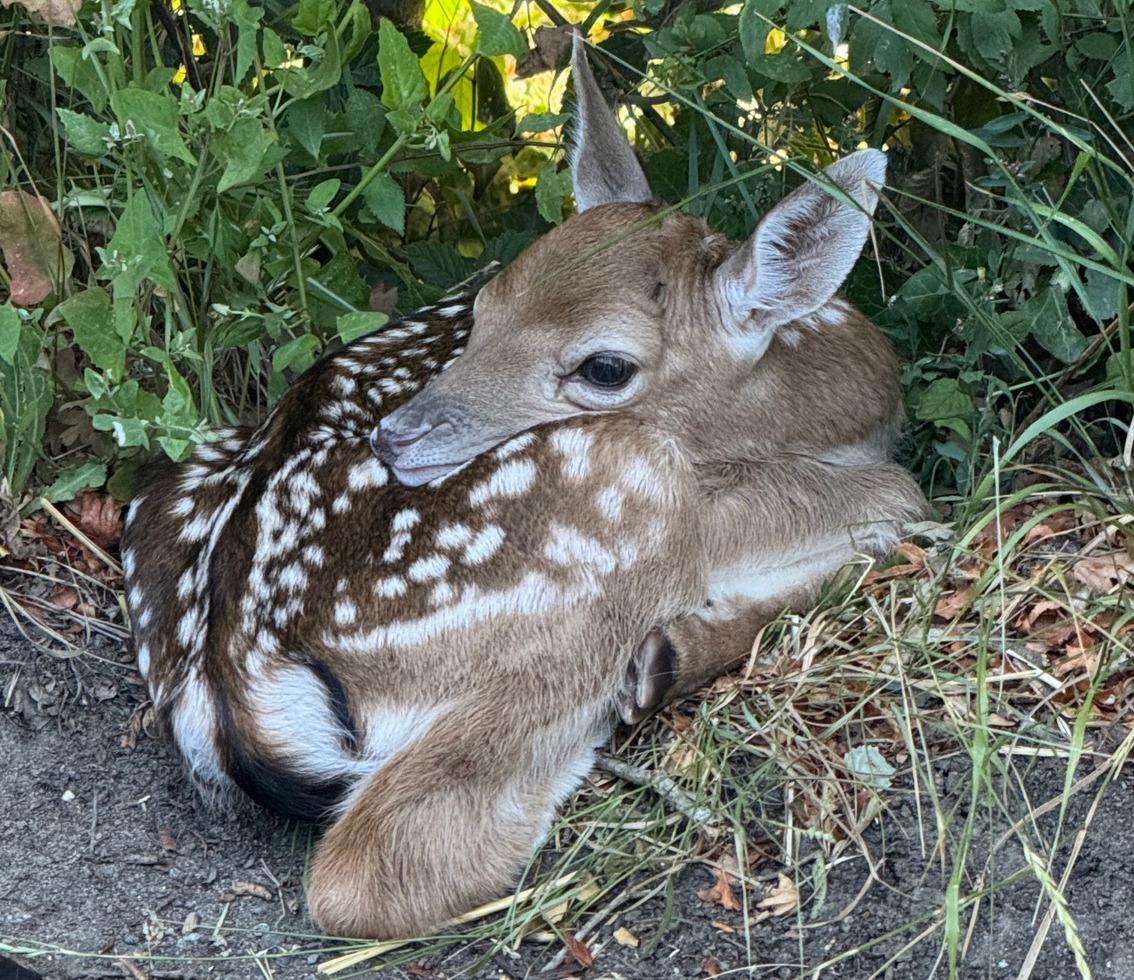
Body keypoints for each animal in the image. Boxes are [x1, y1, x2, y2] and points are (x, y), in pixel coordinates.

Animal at [120, 35, 928, 940]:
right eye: (491, 303)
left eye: (604, 365)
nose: (395, 435)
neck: (834, 401)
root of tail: (230, 694)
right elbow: (902, 496)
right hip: (611, 514)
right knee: (386, 859)